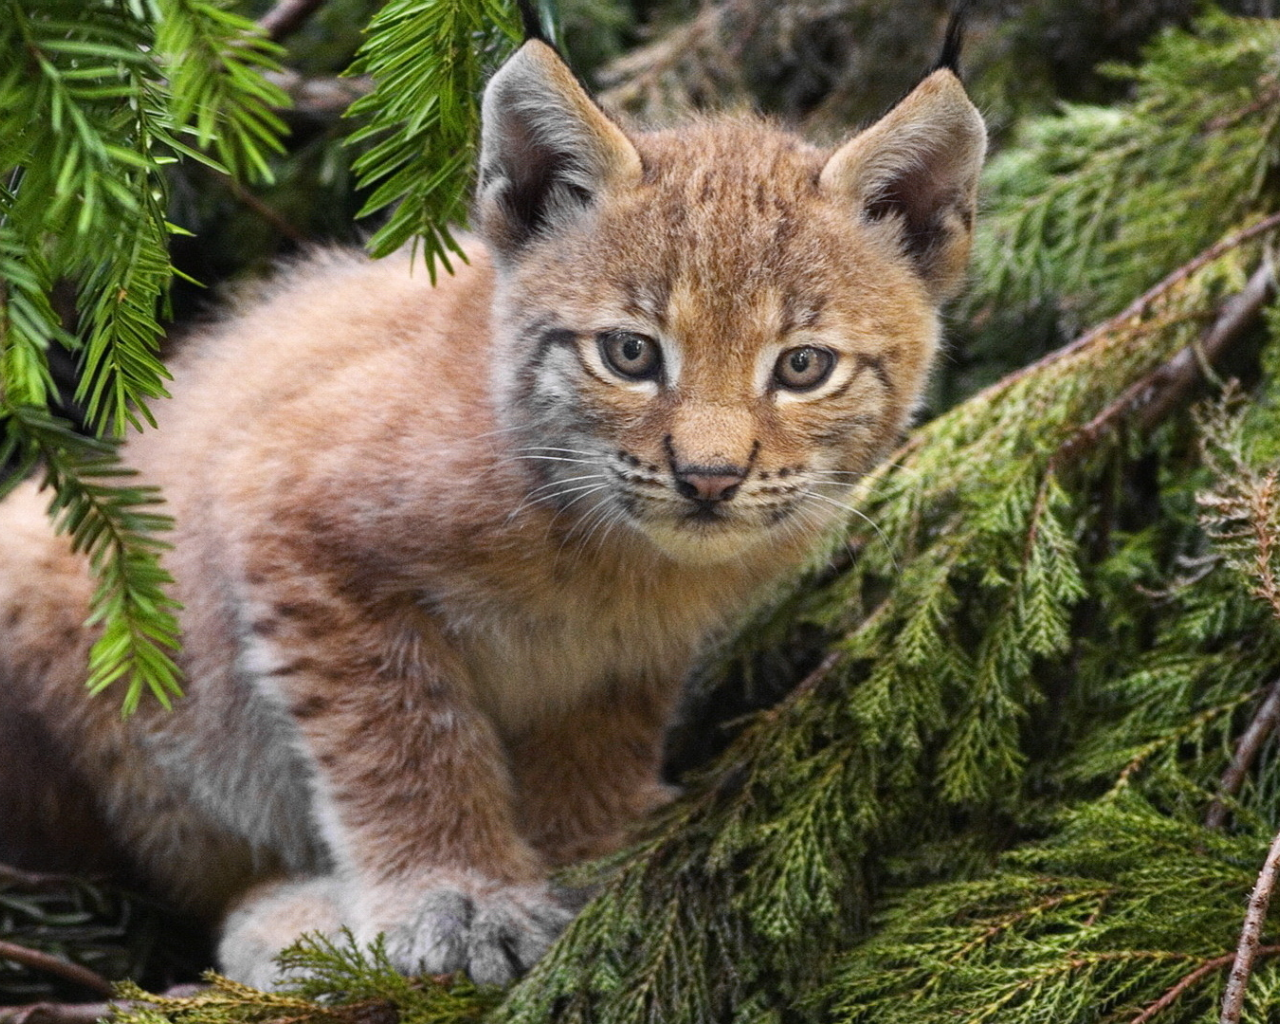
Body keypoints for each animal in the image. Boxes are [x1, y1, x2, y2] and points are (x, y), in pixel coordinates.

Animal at [0, 36, 983, 988]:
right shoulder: (288, 512)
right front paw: (459, 897)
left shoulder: (628, 651)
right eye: (629, 354)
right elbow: (403, 738)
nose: (708, 479)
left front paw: (589, 855)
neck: (613, 549)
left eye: (803, 367)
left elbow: (599, 739)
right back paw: (295, 930)